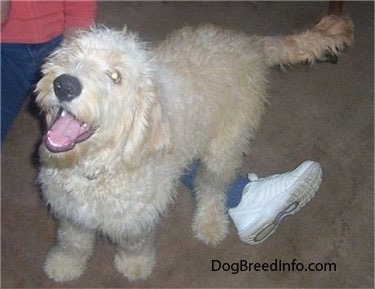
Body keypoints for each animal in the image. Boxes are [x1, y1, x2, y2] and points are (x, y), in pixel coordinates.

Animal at [35, 15, 352, 282]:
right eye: (73, 56)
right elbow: (73, 242)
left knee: (211, 187)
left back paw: (210, 225)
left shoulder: (137, 221)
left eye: (116, 77)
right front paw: (64, 265)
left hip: (225, 147)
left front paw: (135, 266)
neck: (97, 171)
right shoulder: (70, 214)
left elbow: (135, 245)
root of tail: (251, 44)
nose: (64, 85)